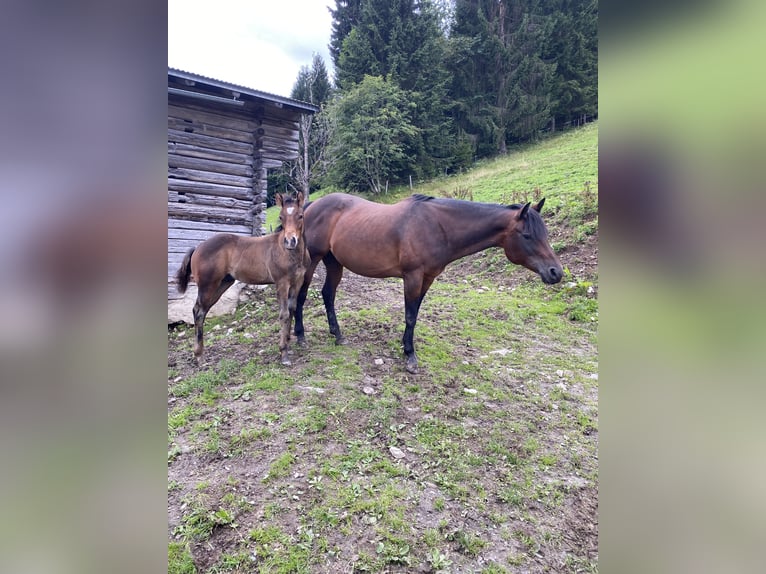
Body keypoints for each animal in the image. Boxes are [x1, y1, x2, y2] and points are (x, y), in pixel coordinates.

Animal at [177, 192, 308, 364]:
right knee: (198, 311)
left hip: (222, 284)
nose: (290, 241)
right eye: (281, 217)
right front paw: (283, 353)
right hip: (207, 285)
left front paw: (287, 343)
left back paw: (200, 353)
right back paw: (198, 355)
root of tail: (198, 247)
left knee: (203, 310)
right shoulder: (281, 283)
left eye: (300, 215)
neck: (288, 253)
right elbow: (284, 314)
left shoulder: (297, 282)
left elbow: (292, 310)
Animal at [294, 194, 564, 374]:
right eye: (527, 235)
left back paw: (338, 335)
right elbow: (409, 315)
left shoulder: (428, 278)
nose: (556, 272)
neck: (437, 226)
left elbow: (415, 314)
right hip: (312, 260)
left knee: (328, 294)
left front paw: (406, 347)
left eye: (545, 234)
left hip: (334, 262)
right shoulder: (413, 276)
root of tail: (310, 206)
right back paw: (300, 336)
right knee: (301, 295)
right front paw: (410, 357)